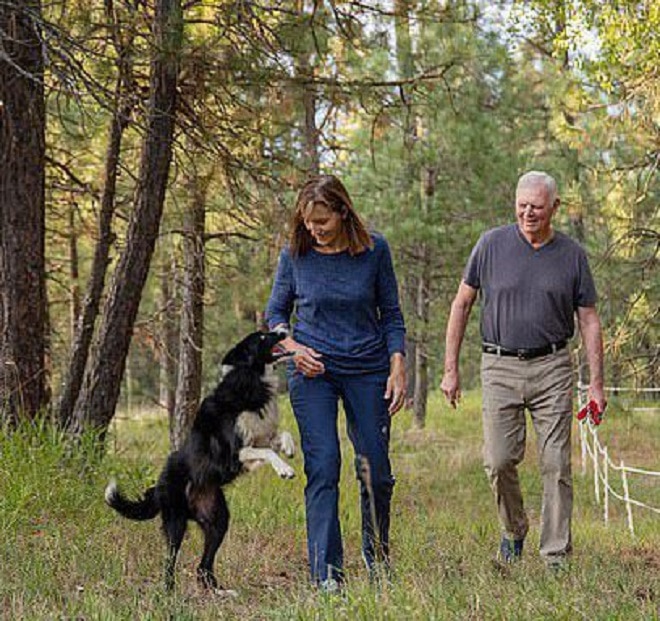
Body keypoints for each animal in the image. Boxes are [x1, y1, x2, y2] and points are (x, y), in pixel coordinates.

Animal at [105, 332, 294, 588]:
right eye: (264, 337)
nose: (284, 330)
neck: (251, 380)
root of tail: (158, 486)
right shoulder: (233, 455)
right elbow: (267, 452)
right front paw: (285, 469)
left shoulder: (260, 437)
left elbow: (281, 436)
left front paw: (289, 448)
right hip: (176, 523)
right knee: (170, 562)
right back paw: (169, 592)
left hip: (218, 521)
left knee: (203, 567)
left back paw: (220, 592)